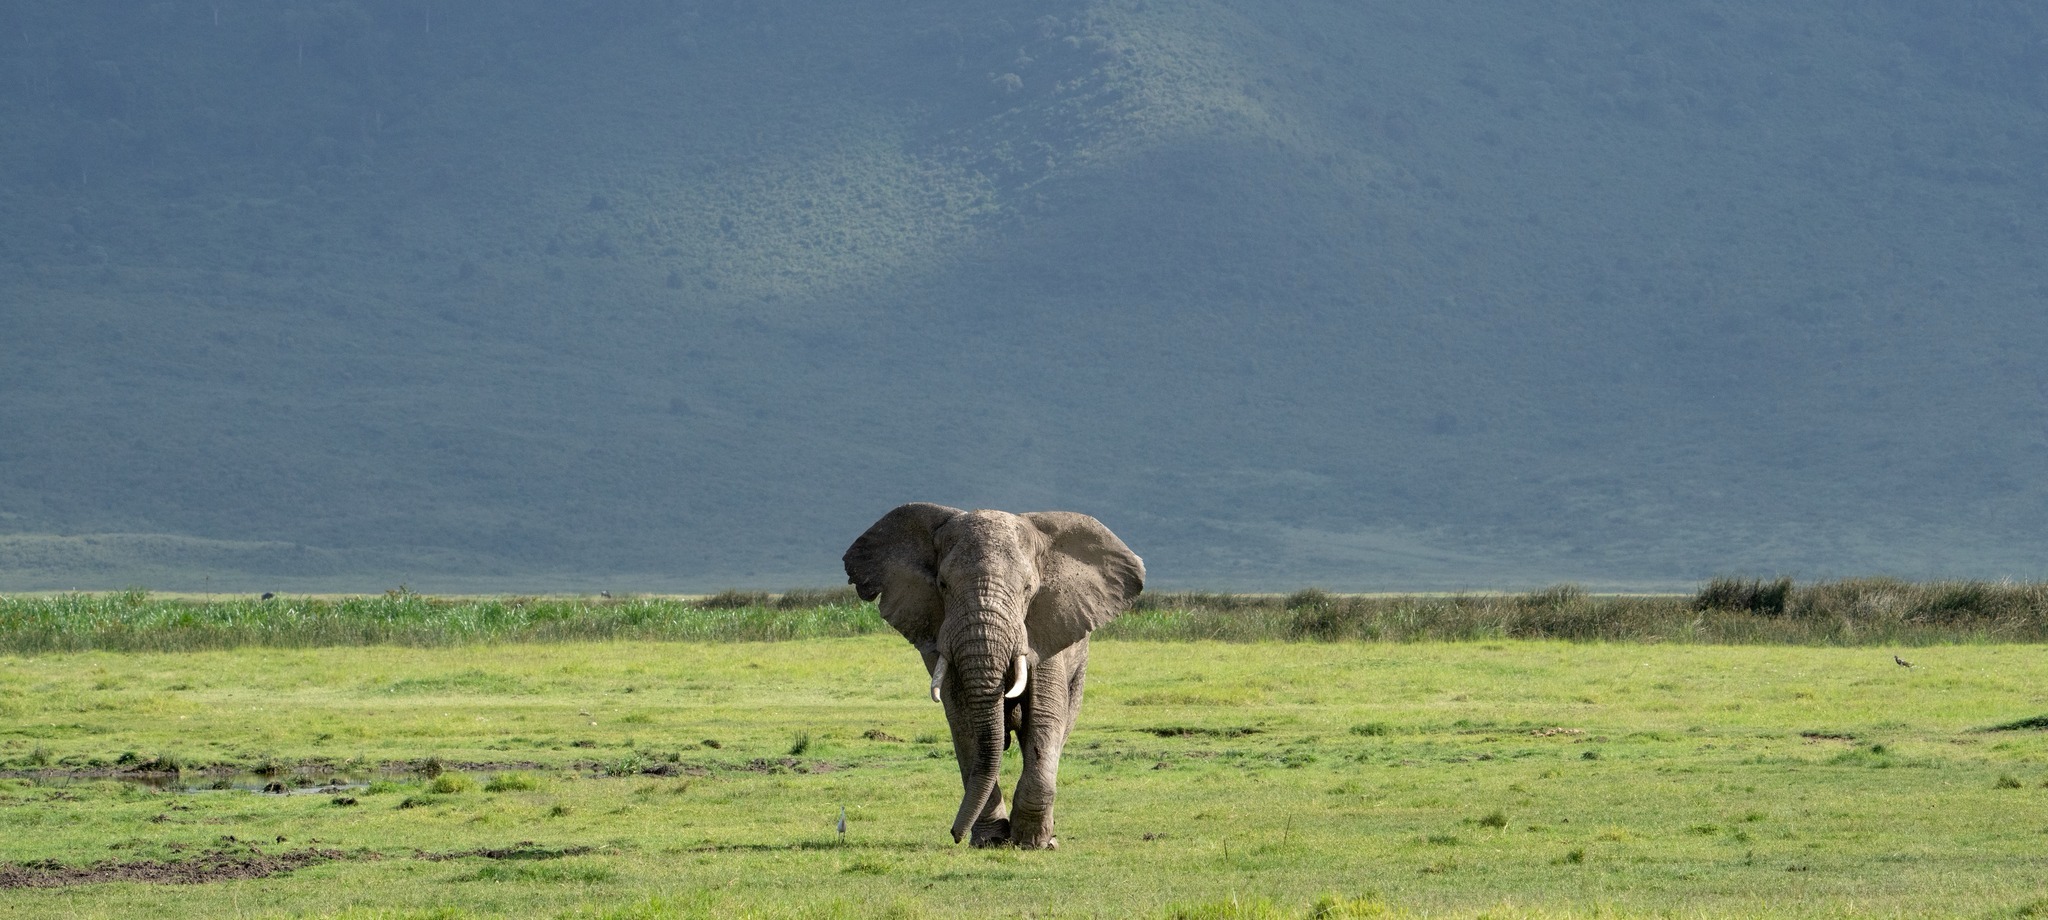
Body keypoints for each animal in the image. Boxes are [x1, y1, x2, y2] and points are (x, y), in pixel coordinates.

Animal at [839, 502, 1146, 844]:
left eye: (1028, 588)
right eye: (943, 585)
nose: (954, 834)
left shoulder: (1046, 627)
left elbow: (1045, 716)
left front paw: (1033, 843)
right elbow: (965, 722)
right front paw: (991, 840)